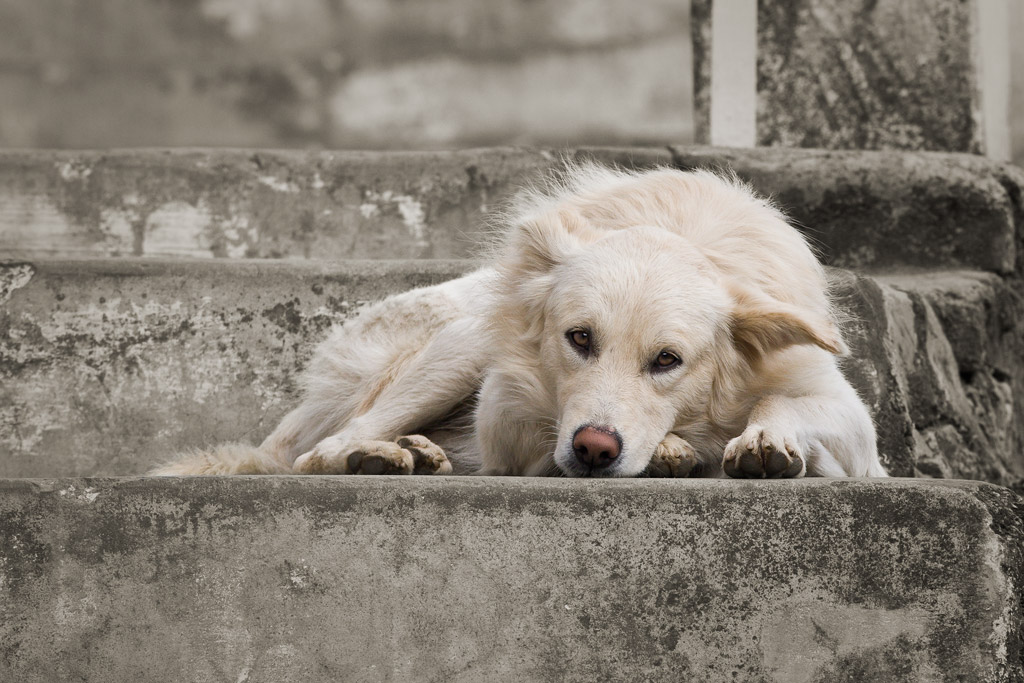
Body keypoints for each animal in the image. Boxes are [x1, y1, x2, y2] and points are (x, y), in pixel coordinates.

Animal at [153, 162, 888, 479]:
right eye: (579, 339)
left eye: (667, 360)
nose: (594, 450)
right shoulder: (508, 410)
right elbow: (532, 439)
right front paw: (678, 448)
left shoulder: (847, 417)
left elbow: (783, 405)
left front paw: (762, 439)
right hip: (457, 347)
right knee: (322, 449)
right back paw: (376, 455)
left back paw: (421, 453)